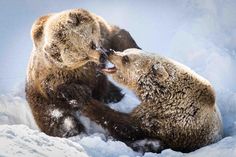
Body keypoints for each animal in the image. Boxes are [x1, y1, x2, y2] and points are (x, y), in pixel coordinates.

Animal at [25, 8, 140, 137]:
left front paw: (134, 50)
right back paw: (73, 129)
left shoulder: (103, 31)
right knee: (60, 119)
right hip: (42, 101)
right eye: (83, 57)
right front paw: (81, 92)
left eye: (92, 44)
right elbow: (58, 86)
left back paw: (113, 95)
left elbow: (118, 35)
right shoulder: (53, 73)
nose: (102, 57)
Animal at [79, 48, 223, 153]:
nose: (110, 51)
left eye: (126, 58)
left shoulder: (167, 120)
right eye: (125, 51)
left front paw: (85, 101)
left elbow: (126, 126)